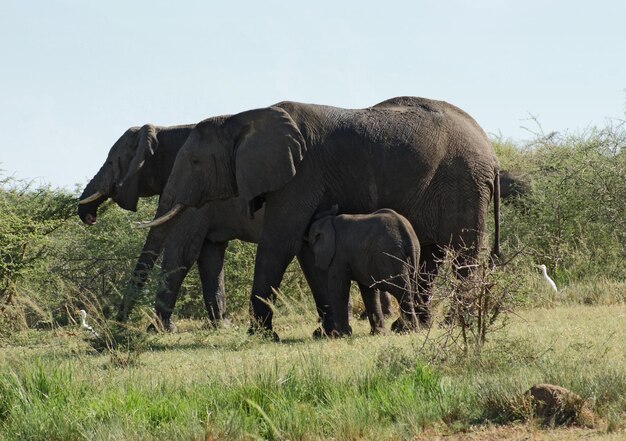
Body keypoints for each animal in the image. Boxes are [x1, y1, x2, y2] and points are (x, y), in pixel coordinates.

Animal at [77, 118, 262, 328]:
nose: (118, 323)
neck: (165, 131)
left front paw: (157, 329)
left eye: (110, 162)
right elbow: (209, 256)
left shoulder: (195, 193)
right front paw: (221, 326)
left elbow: (180, 251)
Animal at [308, 208, 420, 336]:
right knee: (409, 289)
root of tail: (407, 234)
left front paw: (339, 335)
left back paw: (406, 330)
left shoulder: (339, 255)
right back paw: (405, 329)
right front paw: (378, 333)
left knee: (400, 290)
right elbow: (368, 290)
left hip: (391, 256)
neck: (328, 220)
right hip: (411, 256)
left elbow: (339, 288)